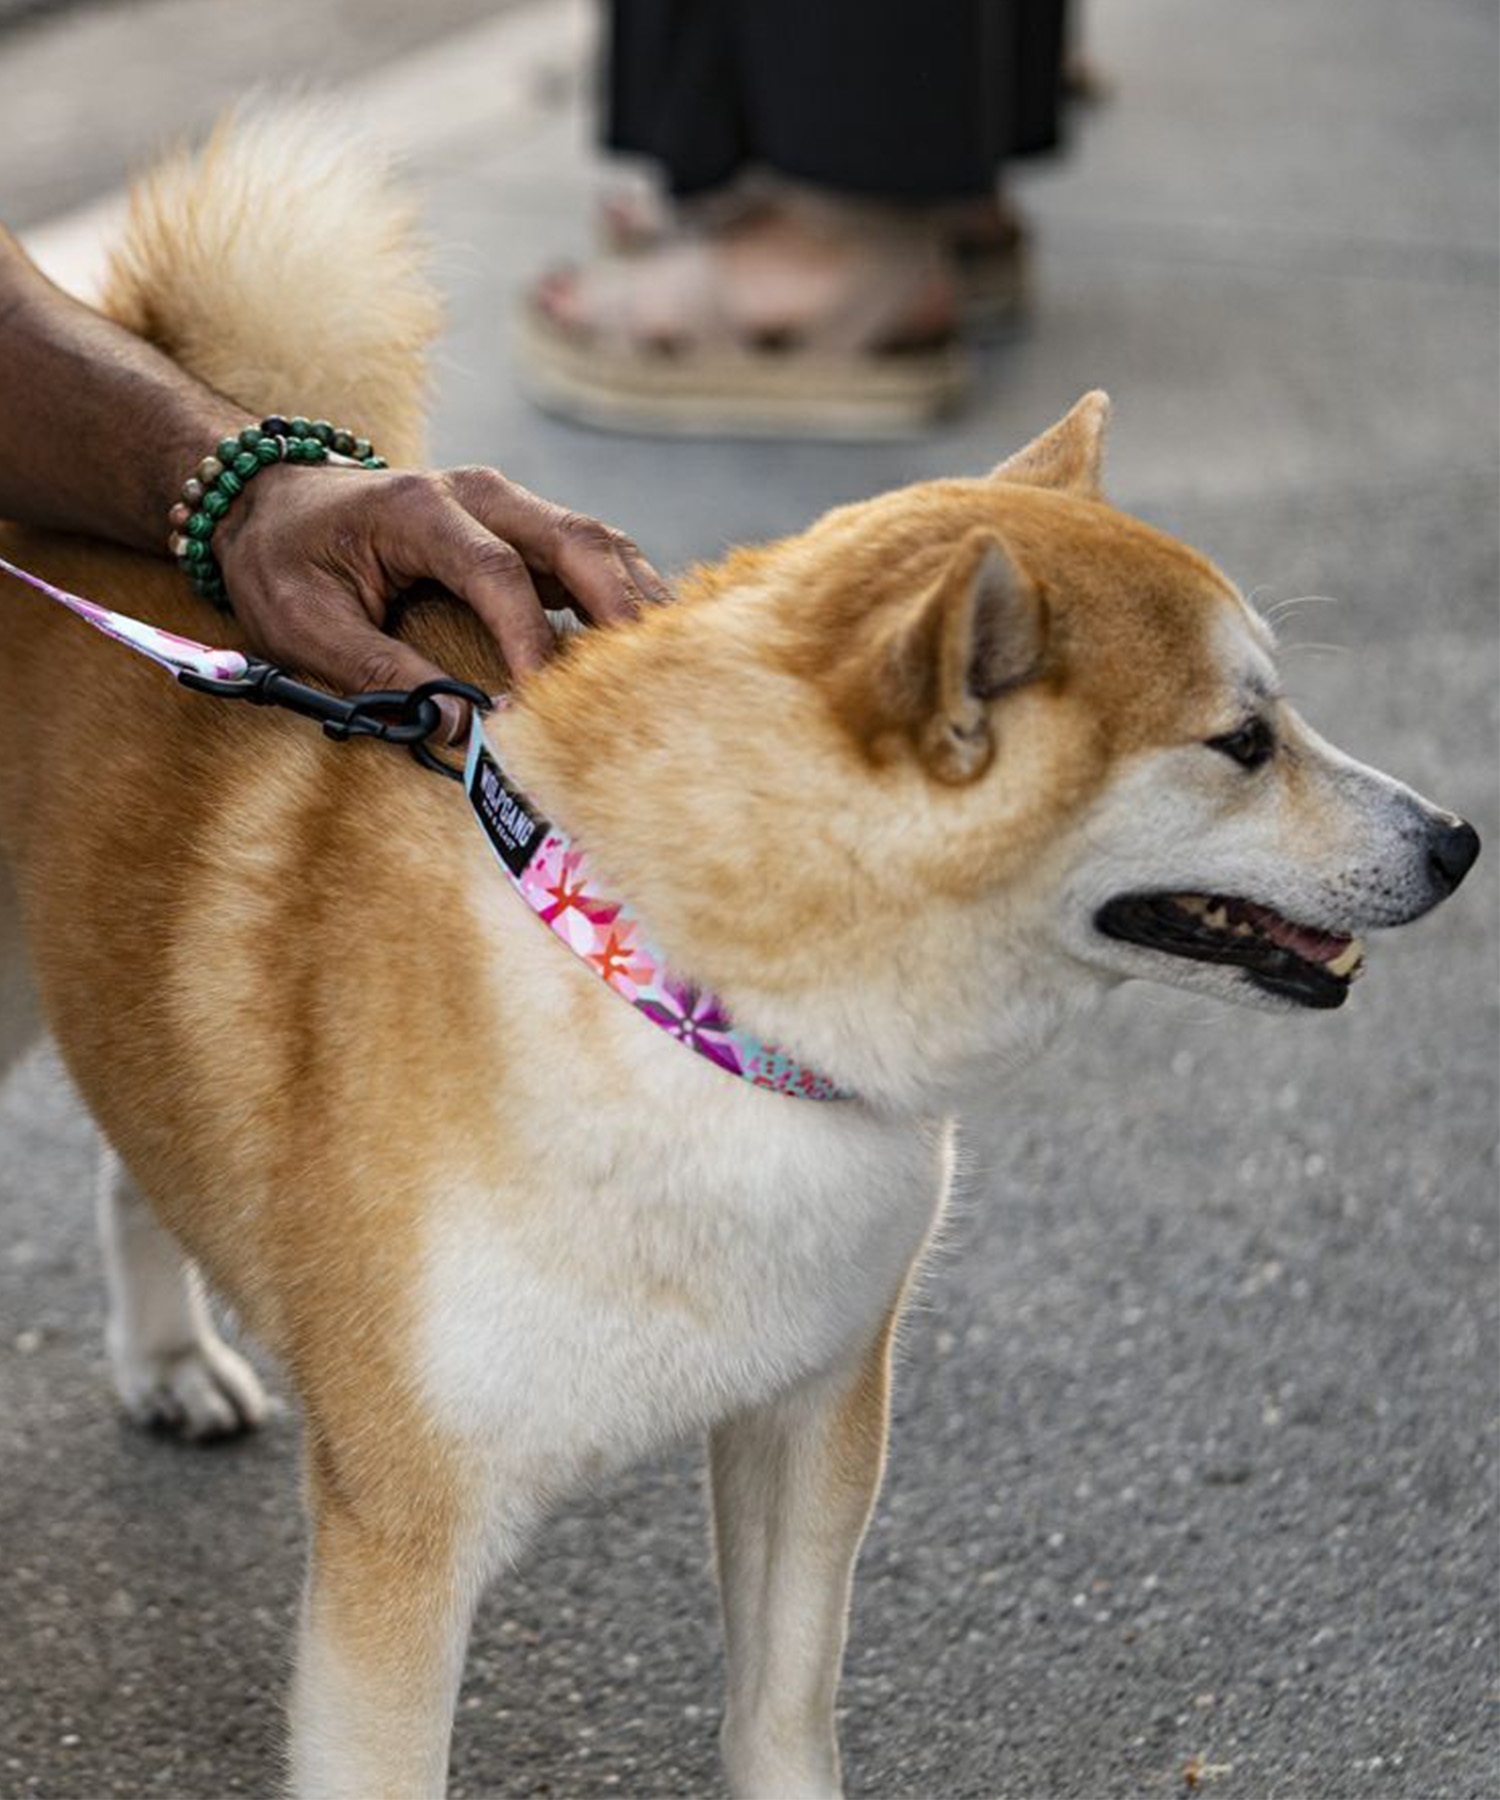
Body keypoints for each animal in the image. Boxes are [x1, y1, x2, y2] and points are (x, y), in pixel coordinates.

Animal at [0, 116, 1476, 1800]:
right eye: (1242, 743)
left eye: (1277, 718)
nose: (1456, 841)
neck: (679, 1010)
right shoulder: (404, 1541)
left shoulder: (810, 1418)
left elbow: (785, 1710)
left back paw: (169, 1356)